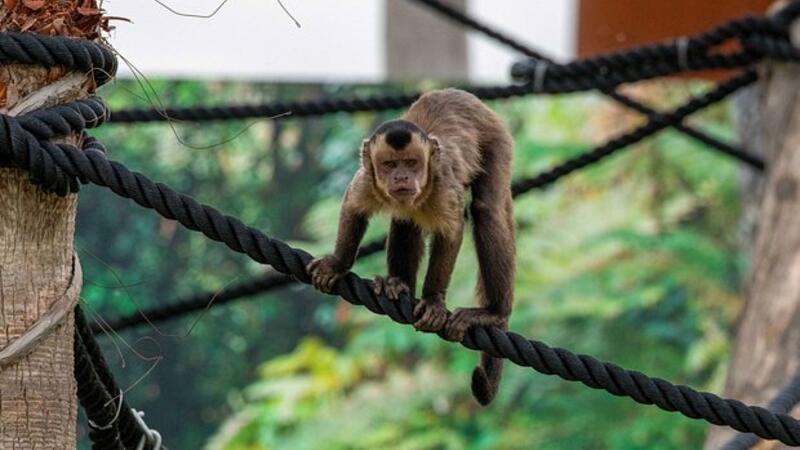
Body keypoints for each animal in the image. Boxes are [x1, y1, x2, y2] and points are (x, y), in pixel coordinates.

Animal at [306, 87, 520, 404]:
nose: (402, 177)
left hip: (497, 140)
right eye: (389, 165)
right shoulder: (367, 177)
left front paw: (432, 300)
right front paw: (338, 264)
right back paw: (399, 284)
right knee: (405, 219)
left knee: (487, 210)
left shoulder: (442, 181)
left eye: (412, 163)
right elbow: (353, 208)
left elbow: (452, 230)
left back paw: (494, 312)